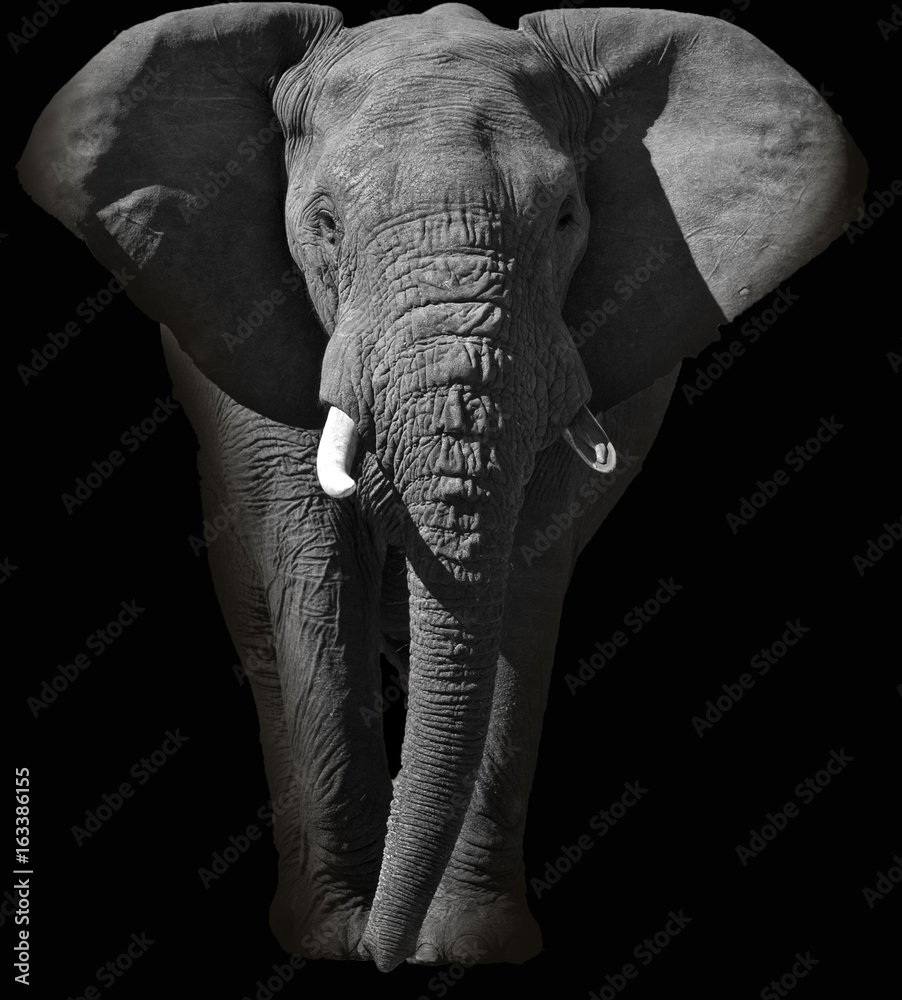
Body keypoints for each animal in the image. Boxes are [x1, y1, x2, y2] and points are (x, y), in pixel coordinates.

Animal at [18, 1, 865, 973]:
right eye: (324, 224)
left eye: (566, 218)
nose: (392, 958)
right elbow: (315, 568)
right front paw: (335, 942)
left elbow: (520, 591)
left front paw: (466, 949)